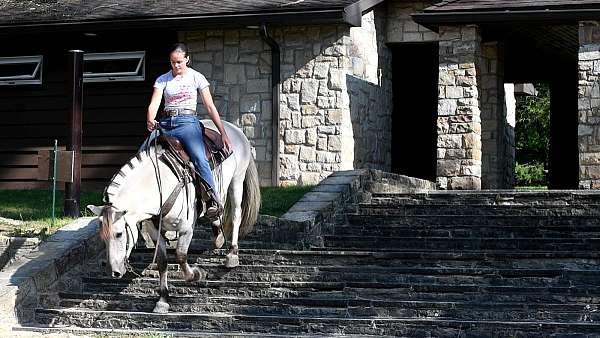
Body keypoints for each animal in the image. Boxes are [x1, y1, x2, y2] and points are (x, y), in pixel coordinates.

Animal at [87, 120, 260, 312]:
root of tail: (233, 128)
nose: (113, 271)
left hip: (237, 180)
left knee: (236, 214)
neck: (161, 183)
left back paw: (232, 254)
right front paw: (162, 299)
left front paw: (197, 274)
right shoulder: (155, 230)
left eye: (119, 234)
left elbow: (181, 255)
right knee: (217, 210)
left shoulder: (186, 229)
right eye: (102, 237)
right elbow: (163, 261)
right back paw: (218, 236)